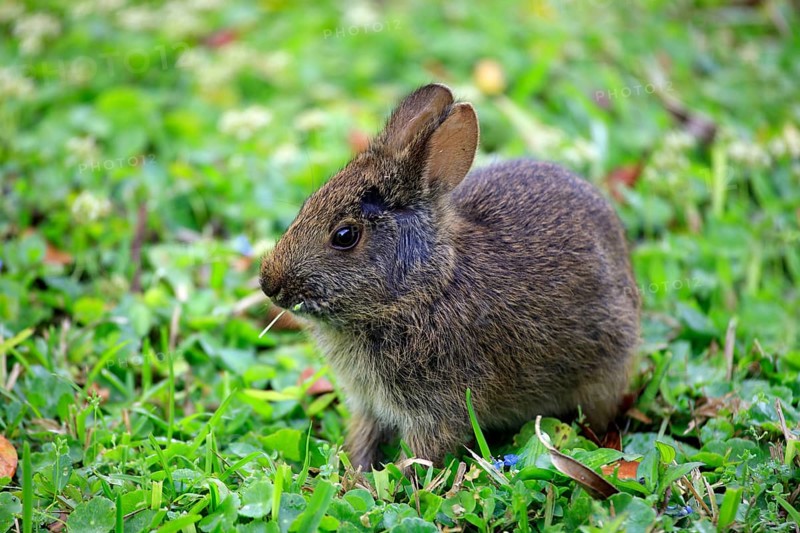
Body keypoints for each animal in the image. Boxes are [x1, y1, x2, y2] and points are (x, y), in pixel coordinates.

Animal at [260, 83, 640, 470]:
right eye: (306, 205)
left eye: (345, 235)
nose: (269, 283)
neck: (422, 289)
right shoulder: (370, 406)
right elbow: (364, 437)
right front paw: (357, 473)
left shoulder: (437, 410)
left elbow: (420, 453)